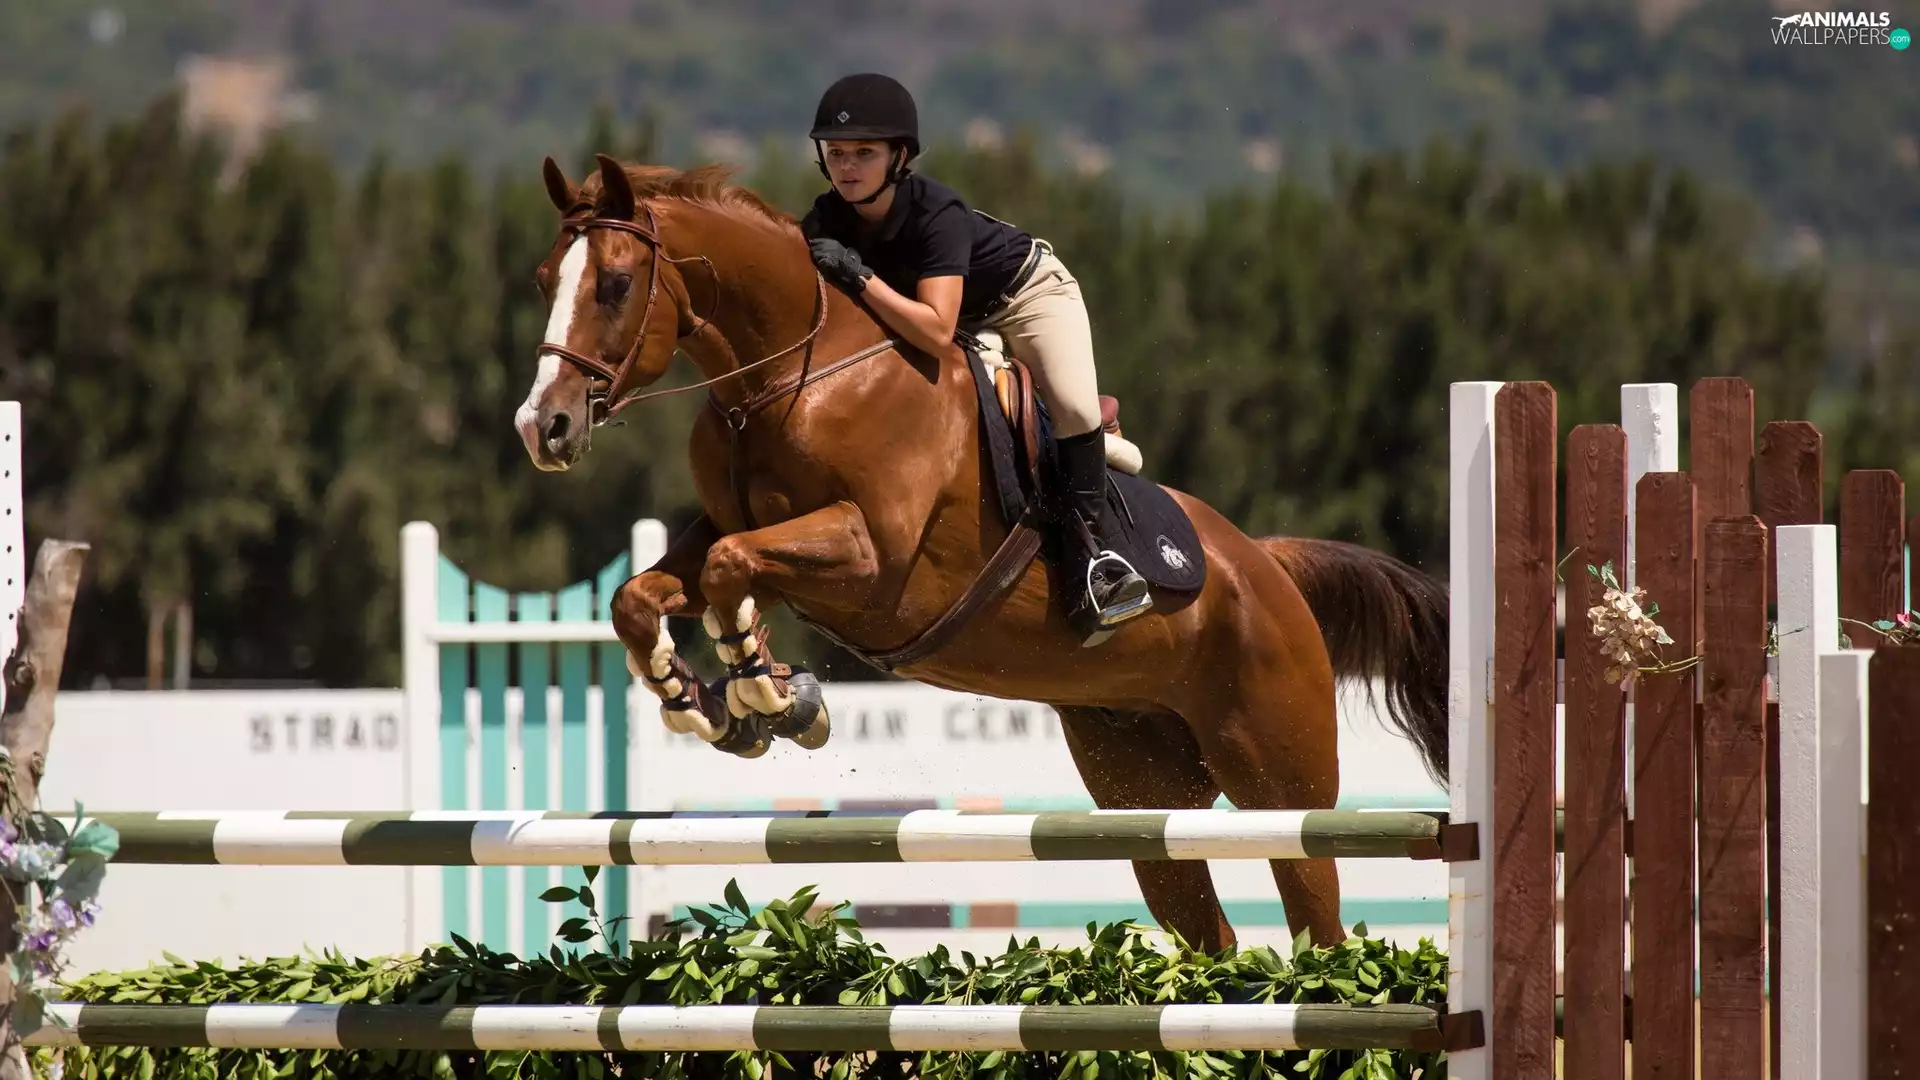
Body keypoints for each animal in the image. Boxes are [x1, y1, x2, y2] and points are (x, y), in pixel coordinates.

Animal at [513, 154, 1451, 954]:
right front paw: (711, 703)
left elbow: (729, 571)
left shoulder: (872, 558)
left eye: (616, 283)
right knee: (1208, 933)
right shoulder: (731, 530)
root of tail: (1266, 567)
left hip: (1280, 782)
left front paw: (768, 693)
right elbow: (649, 594)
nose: (542, 427)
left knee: (1317, 922)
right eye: (544, 282)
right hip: (1145, 791)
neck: (792, 377)